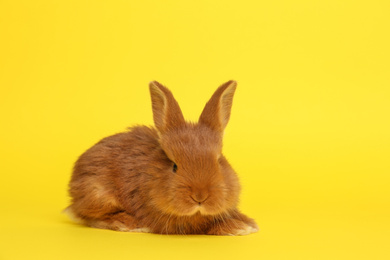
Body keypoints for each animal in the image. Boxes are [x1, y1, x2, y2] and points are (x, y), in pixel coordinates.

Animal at [65, 80, 258, 236]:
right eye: (174, 166)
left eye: (219, 162)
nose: (200, 196)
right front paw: (240, 228)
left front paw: (249, 223)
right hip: (97, 194)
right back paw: (128, 223)